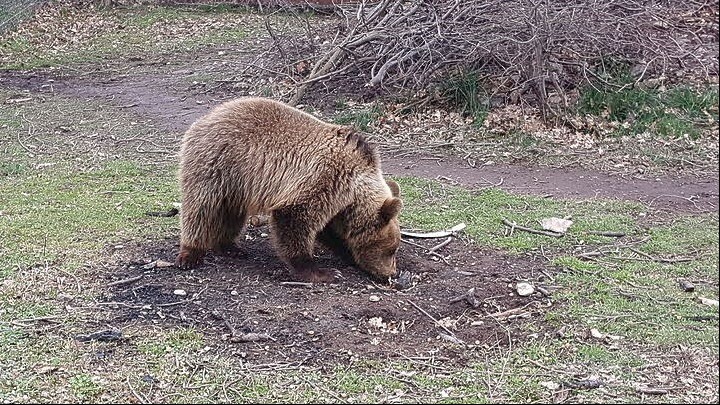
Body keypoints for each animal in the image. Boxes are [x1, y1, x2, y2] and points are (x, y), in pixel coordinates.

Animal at [172, 96, 402, 282]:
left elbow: (328, 231)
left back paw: (230, 247)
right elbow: (295, 219)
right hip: (217, 164)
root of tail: (204, 118)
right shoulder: (325, 178)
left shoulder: (336, 200)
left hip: (237, 184)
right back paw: (190, 254)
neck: (354, 187)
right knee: (201, 208)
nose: (391, 274)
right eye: (391, 249)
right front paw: (322, 272)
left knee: (230, 213)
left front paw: (346, 253)